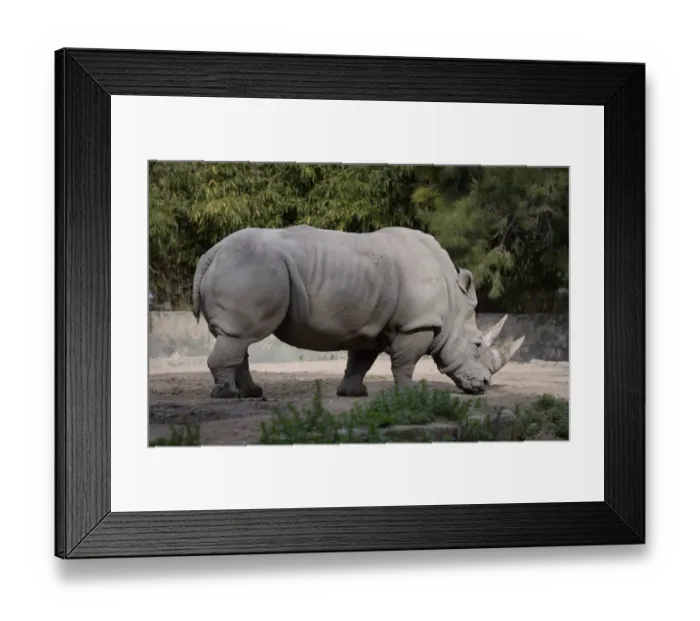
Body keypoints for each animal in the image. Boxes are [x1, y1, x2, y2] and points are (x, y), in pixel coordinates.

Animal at [192, 224, 525, 399]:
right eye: (477, 345)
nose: (484, 386)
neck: (454, 304)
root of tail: (211, 252)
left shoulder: (369, 325)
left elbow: (360, 361)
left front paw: (352, 393)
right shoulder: (416, 324)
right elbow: (406, 362)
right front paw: (410, 394)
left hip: (245, 267)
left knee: (238, 338)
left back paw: (252, 392)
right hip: (253, 268)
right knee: (240, 335)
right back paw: (228, 395)